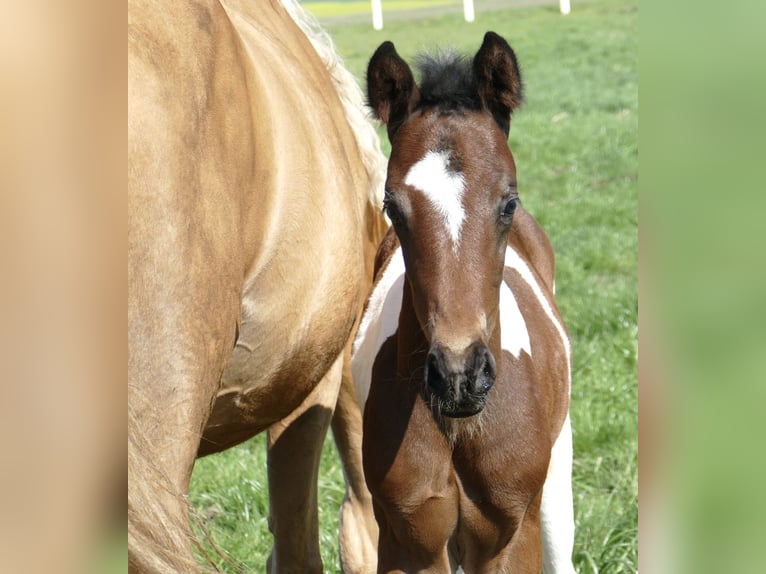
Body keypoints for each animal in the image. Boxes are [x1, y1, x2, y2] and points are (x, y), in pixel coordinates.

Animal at [352, 33, 576, 573]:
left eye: (508, 202)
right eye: (392, 206)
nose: (459, 375)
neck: (459, 426)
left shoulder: (511, 535)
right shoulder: (408, 539)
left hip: (557, 483)